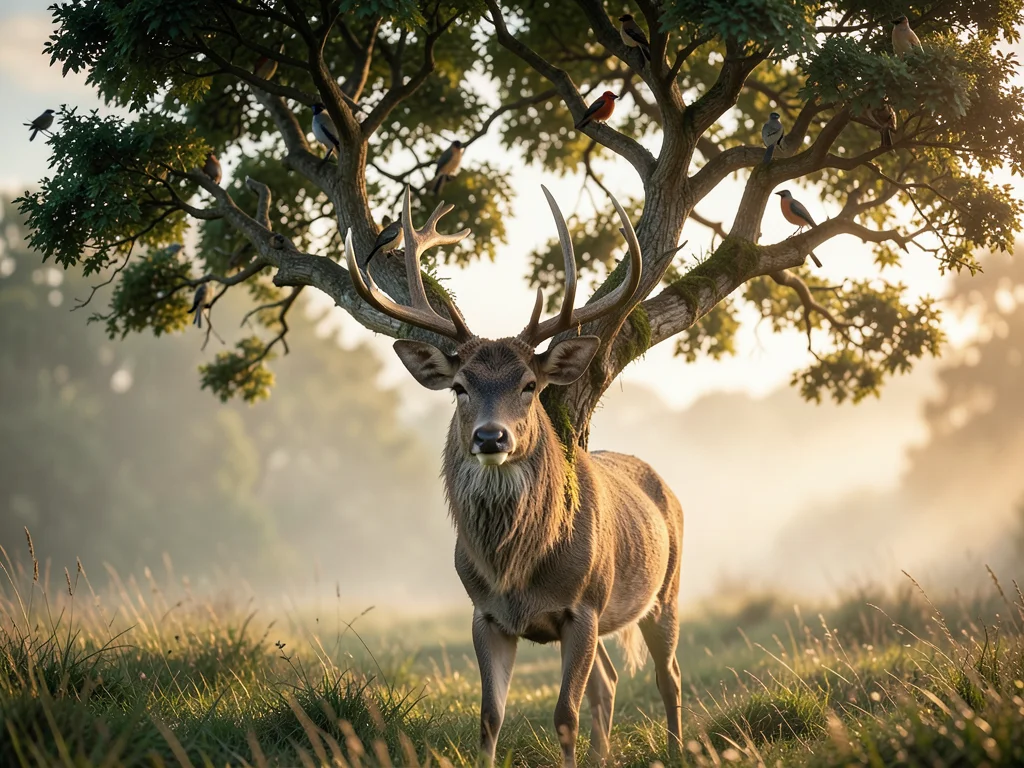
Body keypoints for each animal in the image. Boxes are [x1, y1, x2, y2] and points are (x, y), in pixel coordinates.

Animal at [345, 187, 684, 768]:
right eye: (460, 385)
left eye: (529, 384)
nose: (490, 437)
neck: (517, 574)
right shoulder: (485, 614)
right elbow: (490, 716)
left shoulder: (583, 607)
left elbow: (565, 716)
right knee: (610, 681)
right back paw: (605, 757)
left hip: (667, 589)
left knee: (669, 677)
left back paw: (680, 750)